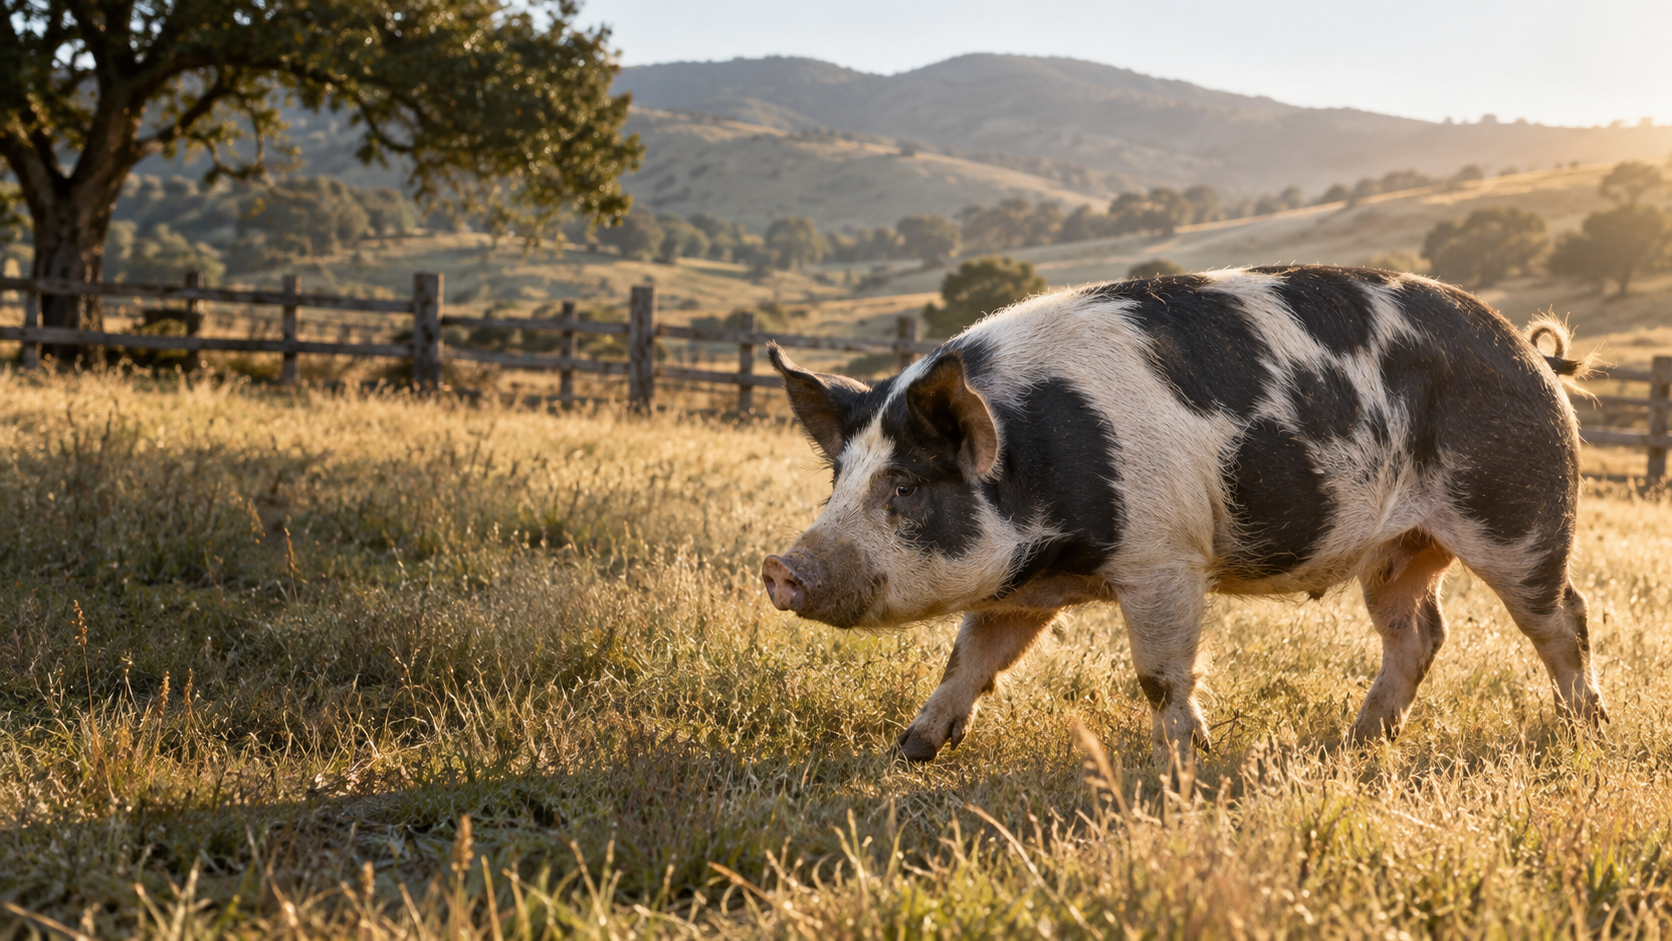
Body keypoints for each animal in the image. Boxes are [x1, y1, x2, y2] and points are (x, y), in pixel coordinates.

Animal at [760, 265, 1606, 764]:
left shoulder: (1164, 557)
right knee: (1421, 631)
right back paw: (1356, 741)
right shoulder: (1018, 590)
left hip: (1521, 515)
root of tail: (1535, 356)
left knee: (1563, 614)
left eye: (905, 486)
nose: (779, 567)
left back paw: (1584, 731)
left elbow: (1159, 672)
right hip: (1401, 546)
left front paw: (1186, 762)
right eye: (838, 478)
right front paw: (907, 751)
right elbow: (967, 661)